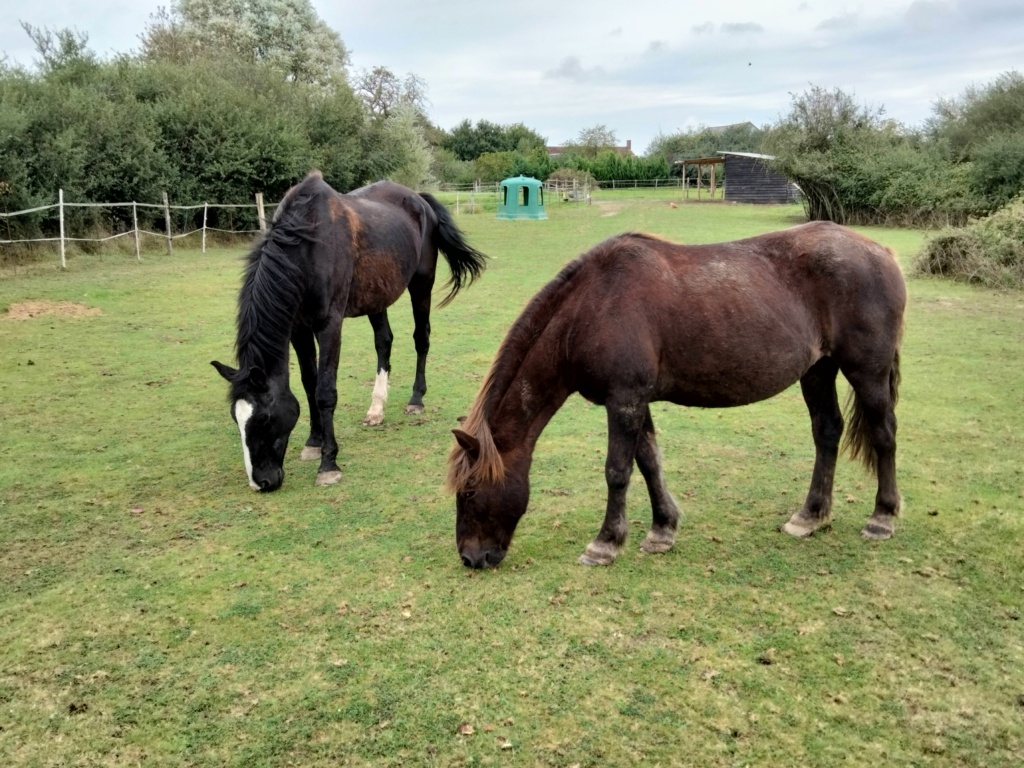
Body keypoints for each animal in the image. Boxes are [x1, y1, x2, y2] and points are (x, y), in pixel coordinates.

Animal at [211, 171, 487, 489]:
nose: (261, 483)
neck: (307, 246)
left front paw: (328, 464)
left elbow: (325, 391)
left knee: (421, 338)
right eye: (237, 419)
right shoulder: (298, 328)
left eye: (266, 419)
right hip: (377, 295)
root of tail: (419, 199)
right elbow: (309, 383)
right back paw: (376, 409)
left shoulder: (329, 325)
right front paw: (314, 441)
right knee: (384, 342)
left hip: (421, 284)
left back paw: (416, 400)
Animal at [448, 224, 905, 573]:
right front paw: (661, 530)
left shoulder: (624, 400)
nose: (470, 558)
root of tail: (880, 252)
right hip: (818, 371)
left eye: (469, 492)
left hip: (867, 373)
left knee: (884, 434)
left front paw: (605, 543)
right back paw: (810, 516)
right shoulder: (636, 401)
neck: (590, 309)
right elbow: (649, 462)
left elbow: (618, 471)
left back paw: (882, 518)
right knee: (827, 433)